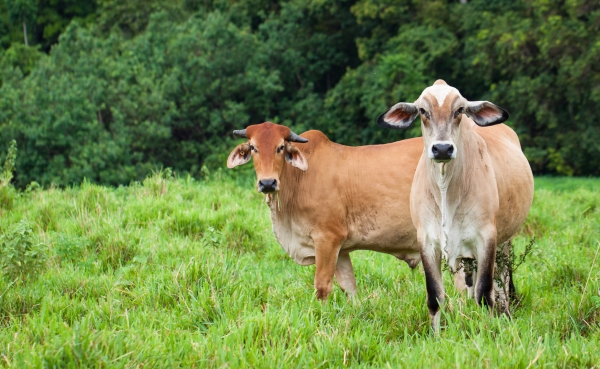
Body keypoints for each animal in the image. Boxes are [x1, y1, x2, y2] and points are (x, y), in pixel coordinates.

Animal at [227, 121, 424, 300]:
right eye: (253, 147)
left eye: (280, 147)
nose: (268, 183)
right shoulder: (341, 249)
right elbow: (349, 287)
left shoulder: (327, 238)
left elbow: (322, 287)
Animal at [376, 80, 536, 330]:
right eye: (423, 111)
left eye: (459, 110)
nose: (442, 148)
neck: (445, 192)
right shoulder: (426, 242)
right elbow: (435, 296)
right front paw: (435, 334)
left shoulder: (487, 238)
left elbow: (485, 293)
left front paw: (488, 331)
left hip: (505, 241)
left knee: (502, 281)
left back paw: (506, 312)